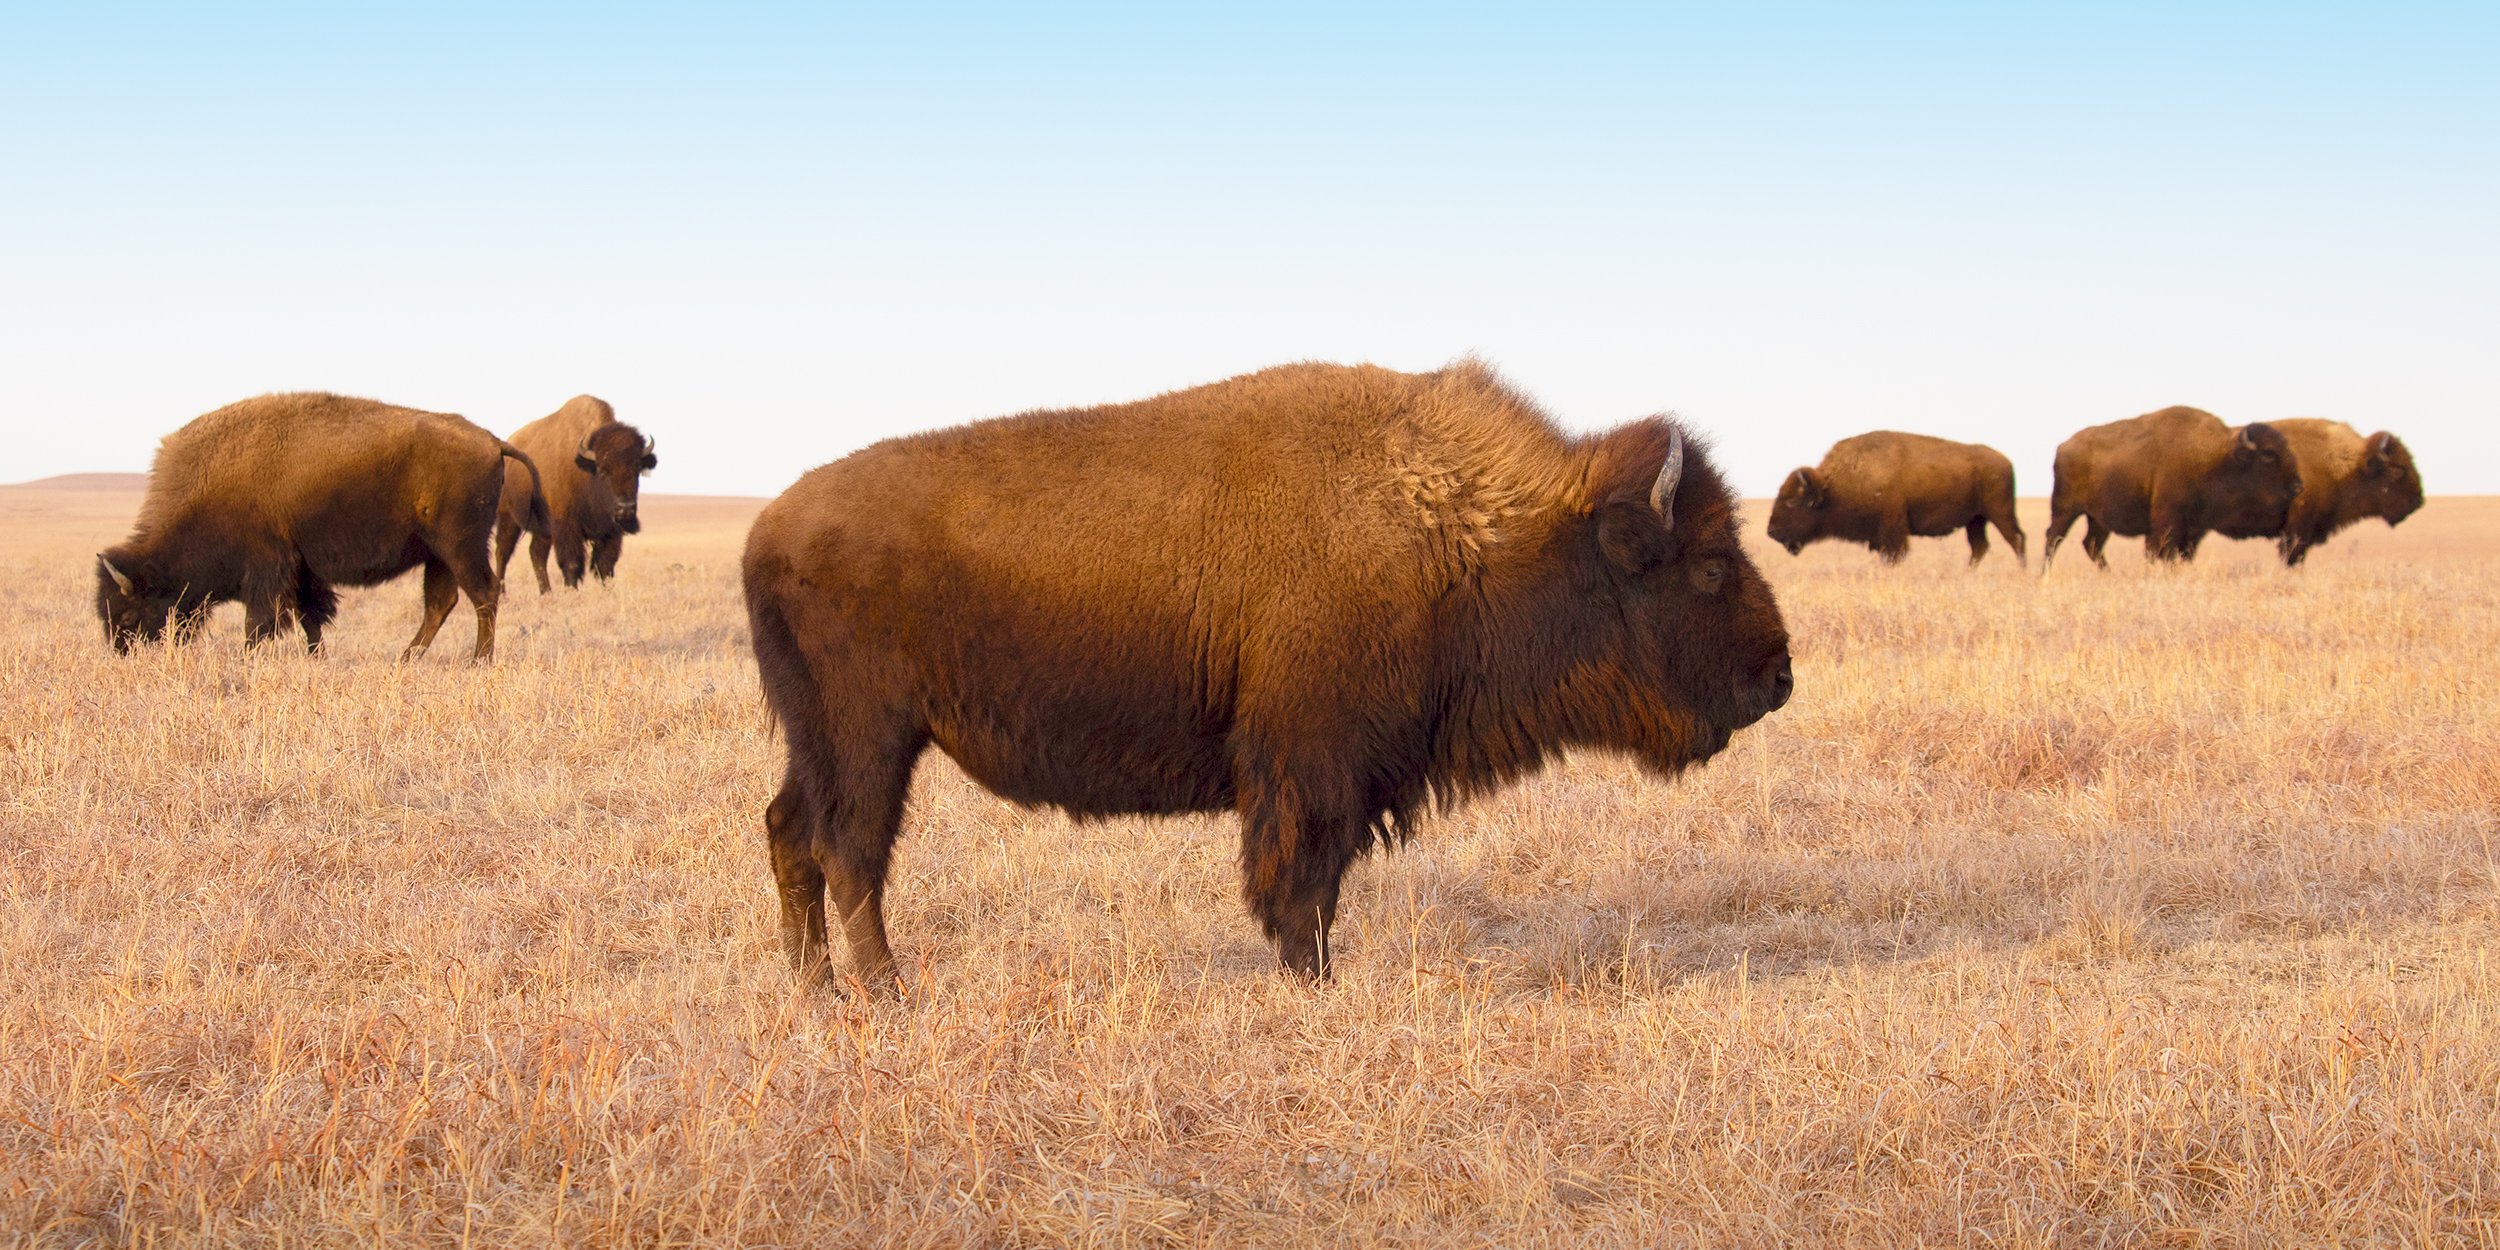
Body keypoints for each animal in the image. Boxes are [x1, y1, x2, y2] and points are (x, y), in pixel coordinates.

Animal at [96, 392, 546, 660]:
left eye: (129, 615)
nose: (123, 654)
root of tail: (492, 441)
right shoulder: (301, 570)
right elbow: (311, 615)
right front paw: (318, 657)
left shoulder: (267, 570)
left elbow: (260, 623)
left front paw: (250, 658)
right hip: (439, 554)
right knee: (441, 602)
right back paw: (407, 659)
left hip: (460, 545)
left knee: (483, 593)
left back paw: (478, 660)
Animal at [493, 395, 656, 593]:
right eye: (603, 470)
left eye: (637, 469)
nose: (626, 509)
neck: (585, 471)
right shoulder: (566, 526)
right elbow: (572, 563)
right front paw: (571, 592)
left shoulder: (610, 532)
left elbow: (605, 566)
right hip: (508, 518)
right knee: (503, 553)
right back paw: (502, 593)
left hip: (542, 529)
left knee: (536, 553)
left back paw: (546, 593)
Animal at [742, 361, 1795, 986]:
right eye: (1708, 566)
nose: (1779, 677)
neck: (1463, 526)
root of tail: (767, 528)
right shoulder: (1312, 765)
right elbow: (1302, 880)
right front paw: (1312, 977)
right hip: (874, 737)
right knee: (852, 850)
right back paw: (886, 992)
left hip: (824, 740)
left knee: (793, 833)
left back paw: (814, 984)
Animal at [1767, 431, 2025, 566]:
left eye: (1791, 502)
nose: (1771, 532)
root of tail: (2005, 461)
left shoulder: (1893, 529)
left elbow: (1894, 556)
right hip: (1976, 520)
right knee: (1980, 546)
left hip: (1999, 512)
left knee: (2016, 538)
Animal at [2042, 406, 2301, 570]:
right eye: (2268, 455)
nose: (2297, 486)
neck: (2216, 458)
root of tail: (2063, 447)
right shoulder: (2167, 525)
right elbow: (2163, 554)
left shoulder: (2194, 530)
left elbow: (2182, 556)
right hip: (2065, 510)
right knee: (2054, 539)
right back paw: (2046, 577)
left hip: (2098, 519)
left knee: (2092, 544)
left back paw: (2108, 574)